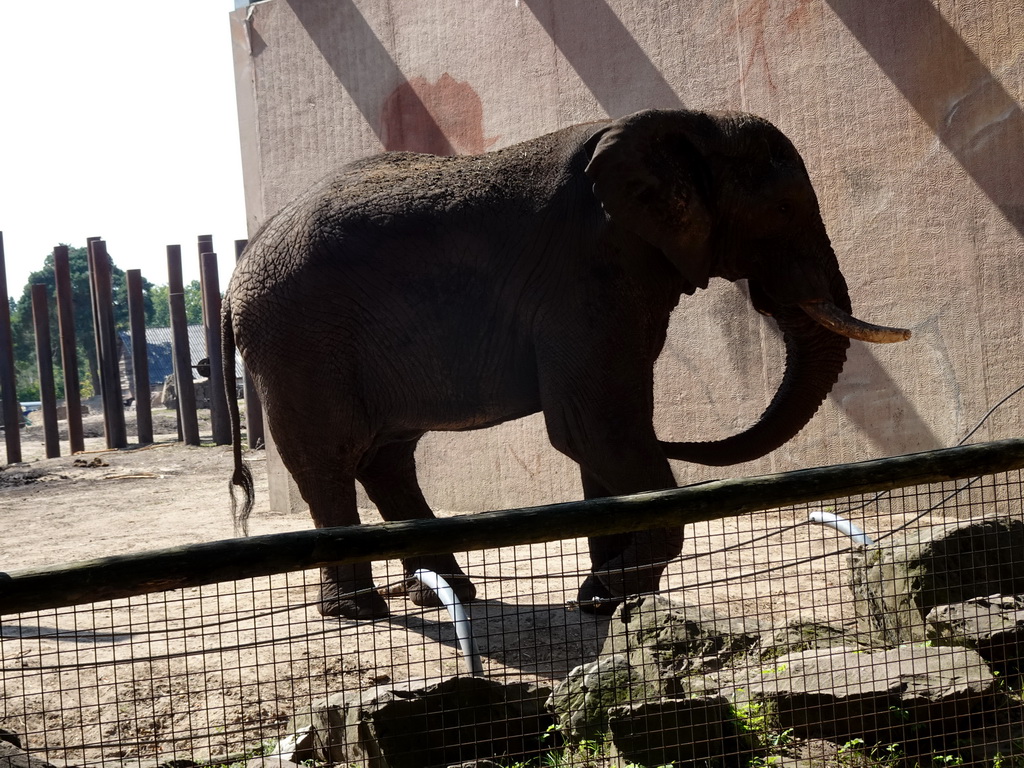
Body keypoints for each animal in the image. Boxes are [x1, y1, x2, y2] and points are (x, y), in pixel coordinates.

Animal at [222, 108, 905, 622]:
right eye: (785, 211)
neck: (685, 121)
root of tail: (240, 266)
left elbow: (603, 430)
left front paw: (606, 603)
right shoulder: (586, 272)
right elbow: (592, 426)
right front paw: (609, 595)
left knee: (387, 457)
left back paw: (447, 593)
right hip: (298, 339)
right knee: (328, 459)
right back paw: (359, 611)